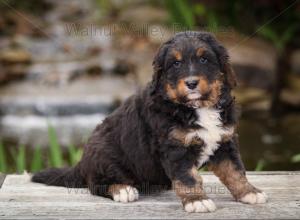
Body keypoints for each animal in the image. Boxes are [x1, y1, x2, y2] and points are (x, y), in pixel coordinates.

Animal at [32, 31, 268, 212]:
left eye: (204, 59)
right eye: (176, 63)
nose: (191, 83)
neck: (196, 107)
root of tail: (82, 162)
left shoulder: (225, 141)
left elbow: (235, 171)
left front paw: (249, 193)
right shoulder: (175, 148)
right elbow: (188, 178)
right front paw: (197, 201)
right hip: (105, 157)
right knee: (96, 184)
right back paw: (123, 190)